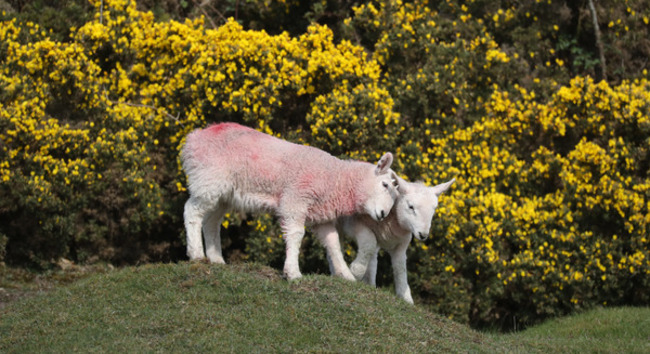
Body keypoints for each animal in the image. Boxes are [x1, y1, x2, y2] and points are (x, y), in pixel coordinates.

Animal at [180, 123, 398, 280]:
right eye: (385, 184)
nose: (383, 215)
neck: (335, 179)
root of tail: (194, 137)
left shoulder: (320, 215)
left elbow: (333, 243)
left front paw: (346, 275)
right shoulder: (295, 201)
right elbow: (296, 235)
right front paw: (293, 272)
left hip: (223, 193)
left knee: (211, 221)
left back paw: (216, 259)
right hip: (208, 179)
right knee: (192, 211)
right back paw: (196, 254)